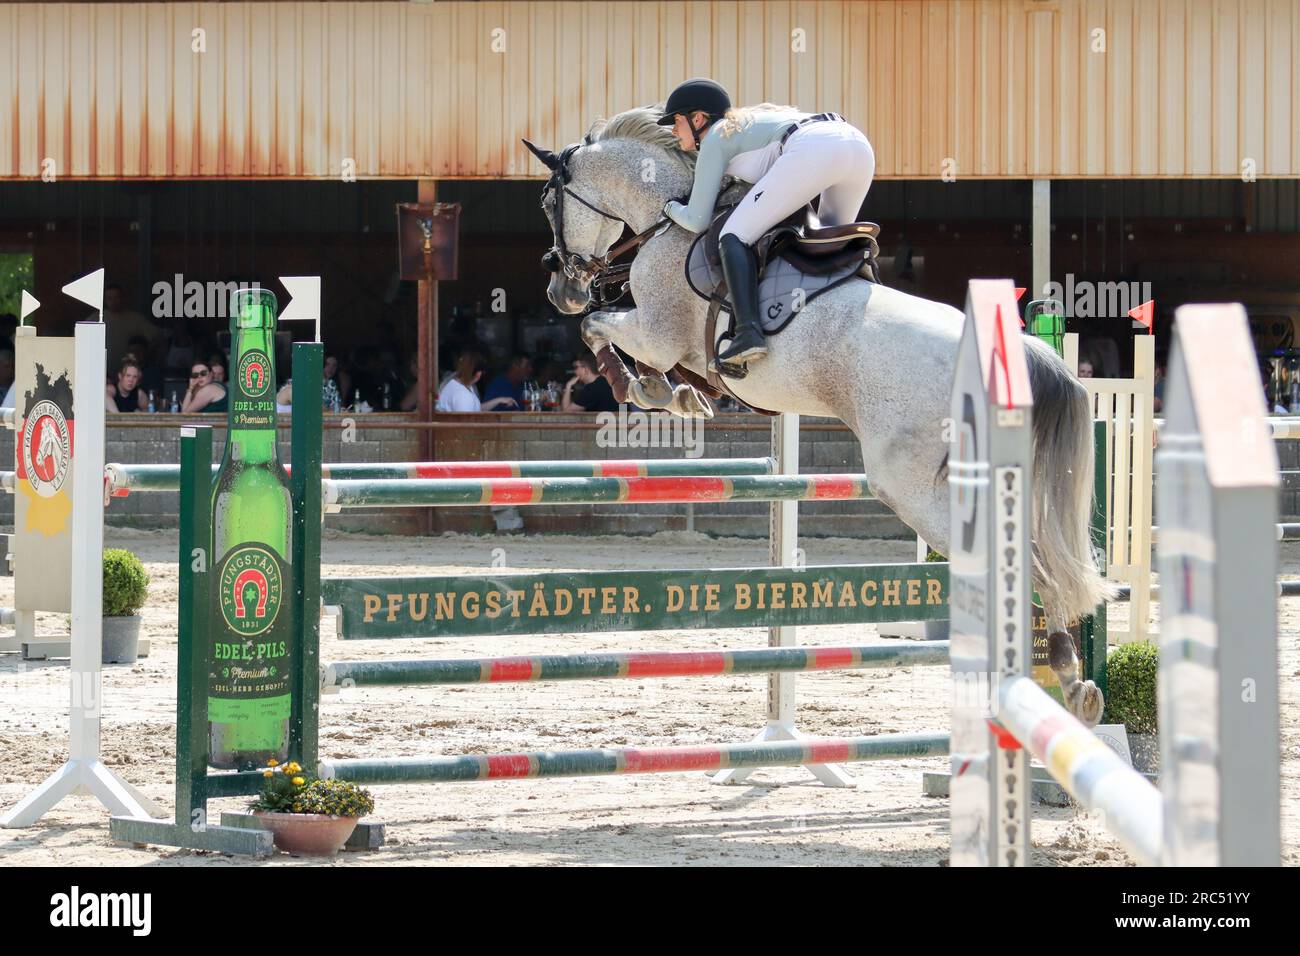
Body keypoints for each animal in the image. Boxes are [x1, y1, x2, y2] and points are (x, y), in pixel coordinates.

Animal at [525, 108, 1107, 723]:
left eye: (548, 202)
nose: (560, 290)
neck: (667, 220)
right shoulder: (673, 343)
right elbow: (658, 360)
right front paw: (682, 395)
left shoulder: (657, 331)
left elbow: (599, 331)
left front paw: (645, 387)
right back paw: (1069, 683)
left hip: (913, 488)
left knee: (1020, 564)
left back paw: (1056, 678)